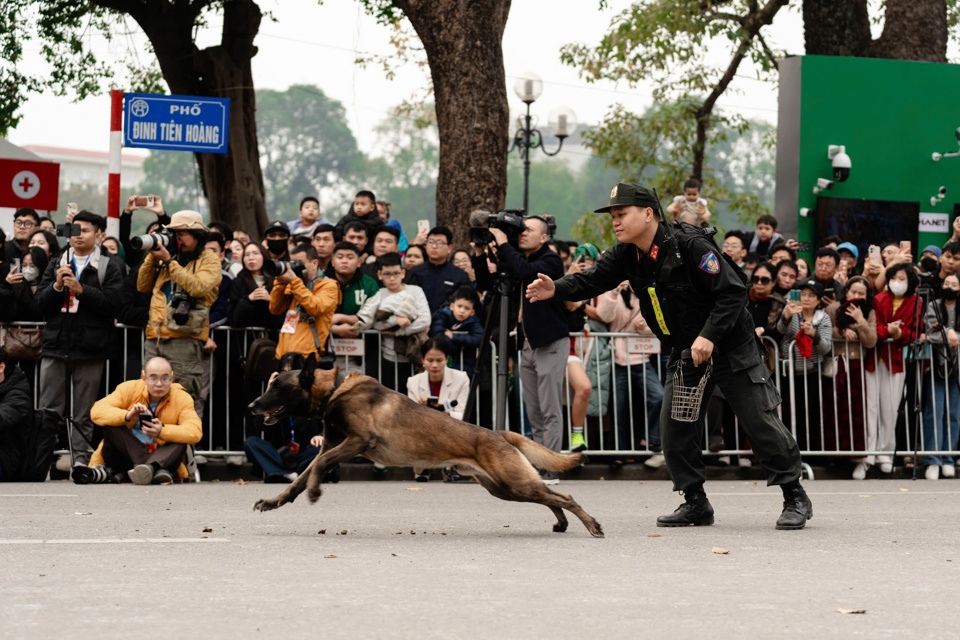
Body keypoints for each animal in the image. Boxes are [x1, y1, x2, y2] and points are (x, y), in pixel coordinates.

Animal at [251, 358, 604, 536]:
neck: (334, 389)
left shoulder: (357, 442)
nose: (252, 405)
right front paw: (274, 501)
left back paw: (591, 524)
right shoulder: (332, 447)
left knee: (564, 496)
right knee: (550, 497)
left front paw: (314, 492)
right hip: (505, 488)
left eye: (277, 386)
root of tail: (500, 433)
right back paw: (562, 522)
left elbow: (318, 469)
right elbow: (300, 478)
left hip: (513, 483)